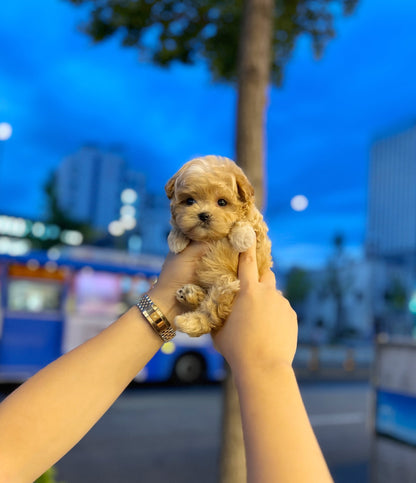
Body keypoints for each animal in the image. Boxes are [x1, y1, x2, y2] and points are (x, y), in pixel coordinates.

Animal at [166, 155, 272, 336]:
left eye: (222, 202)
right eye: (189, 201)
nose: (203, 215)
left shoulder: (259, 235)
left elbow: (248, 222)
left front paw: (242, 236)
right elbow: (178, 225)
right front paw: (176, 239)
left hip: (226, 284)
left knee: (212, 315)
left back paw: (188, 318)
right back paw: (191, 296)